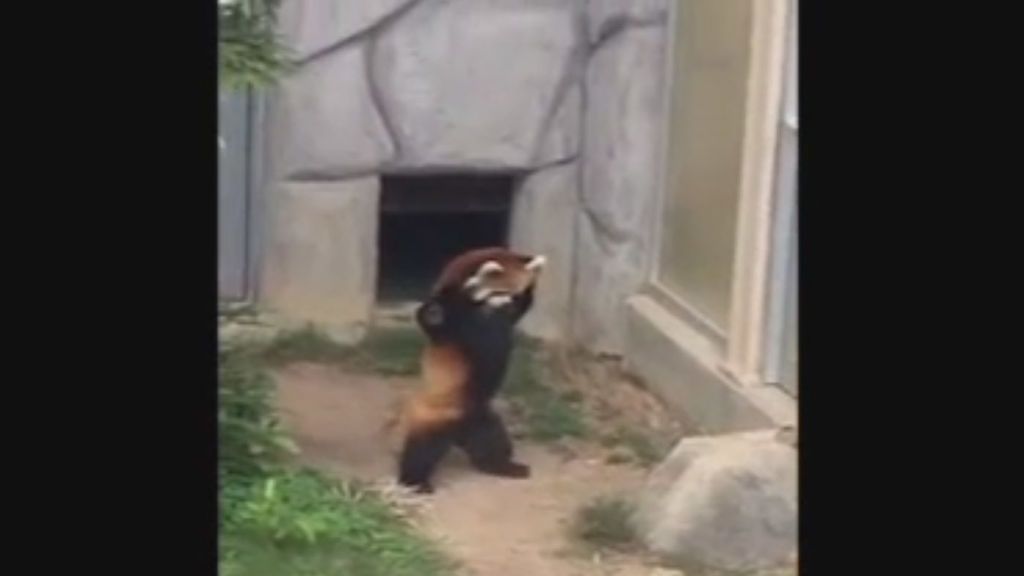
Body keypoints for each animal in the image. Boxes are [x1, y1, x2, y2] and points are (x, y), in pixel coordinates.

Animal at [395, 243, 548, 491]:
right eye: (499, 293)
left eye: (515, 295)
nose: (508, 303)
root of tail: (460, 432)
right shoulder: (450, 321)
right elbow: (434, 316)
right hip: (440, 415)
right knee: (422, 449)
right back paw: (414, 480)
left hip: (484, 419)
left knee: (493, 444)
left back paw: (503, 466)